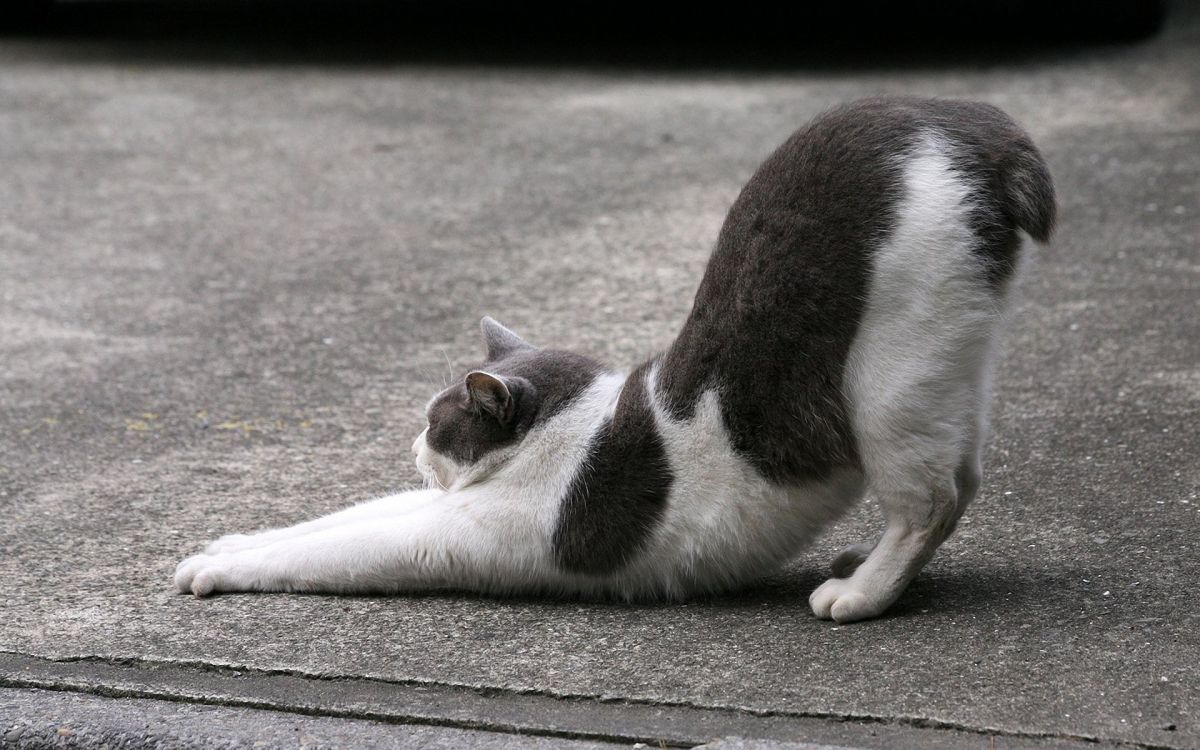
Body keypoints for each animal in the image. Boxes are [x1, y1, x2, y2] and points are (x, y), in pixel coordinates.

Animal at [174, 94, 1056, 619]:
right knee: (964, 475)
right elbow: (342, 516)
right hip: (954, 365)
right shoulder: (443, 506)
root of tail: (972, 121)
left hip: (891, 379)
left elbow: (341, 546)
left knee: (931, 498)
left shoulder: (462, 533)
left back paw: (861, 592)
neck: (566, 427)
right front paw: (230, 543)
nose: (413, 446)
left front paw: (217, 569)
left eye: (436, 422)